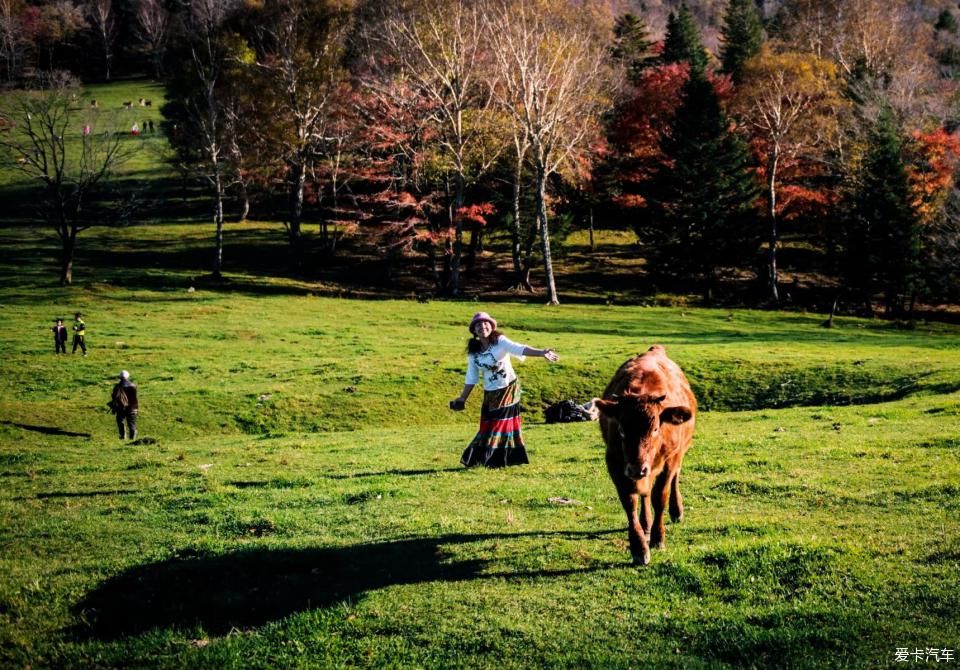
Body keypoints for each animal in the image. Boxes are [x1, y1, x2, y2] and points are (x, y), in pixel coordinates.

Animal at [596, 346, 692, 568]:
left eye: (656, 428)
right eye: (621, 430)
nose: (637, 468)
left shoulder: (670, 460)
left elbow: (660, 496)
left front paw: (658, 538)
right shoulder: (615, 463)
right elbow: (630, 502)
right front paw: (639, 547)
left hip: (679, 454)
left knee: (674, 479)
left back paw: (676, 511)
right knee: (645, 493)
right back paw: (646, 524)